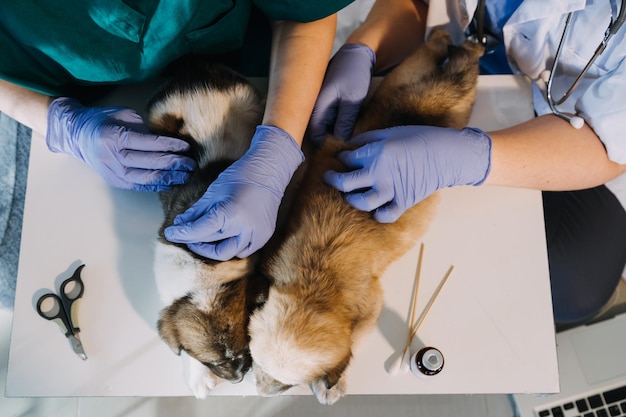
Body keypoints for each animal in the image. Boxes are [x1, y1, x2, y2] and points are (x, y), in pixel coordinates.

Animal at [249, 29, 482, 404]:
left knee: (460, 66)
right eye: (256, 363)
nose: (262, 392)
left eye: (286, 385)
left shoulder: (371, 309)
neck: (314, 287)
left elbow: (352, 345)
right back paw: (446, 37)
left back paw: (460, 43)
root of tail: (433, 99)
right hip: (405, 76)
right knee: (439, 55)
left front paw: (334, 385)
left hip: (451, 105)